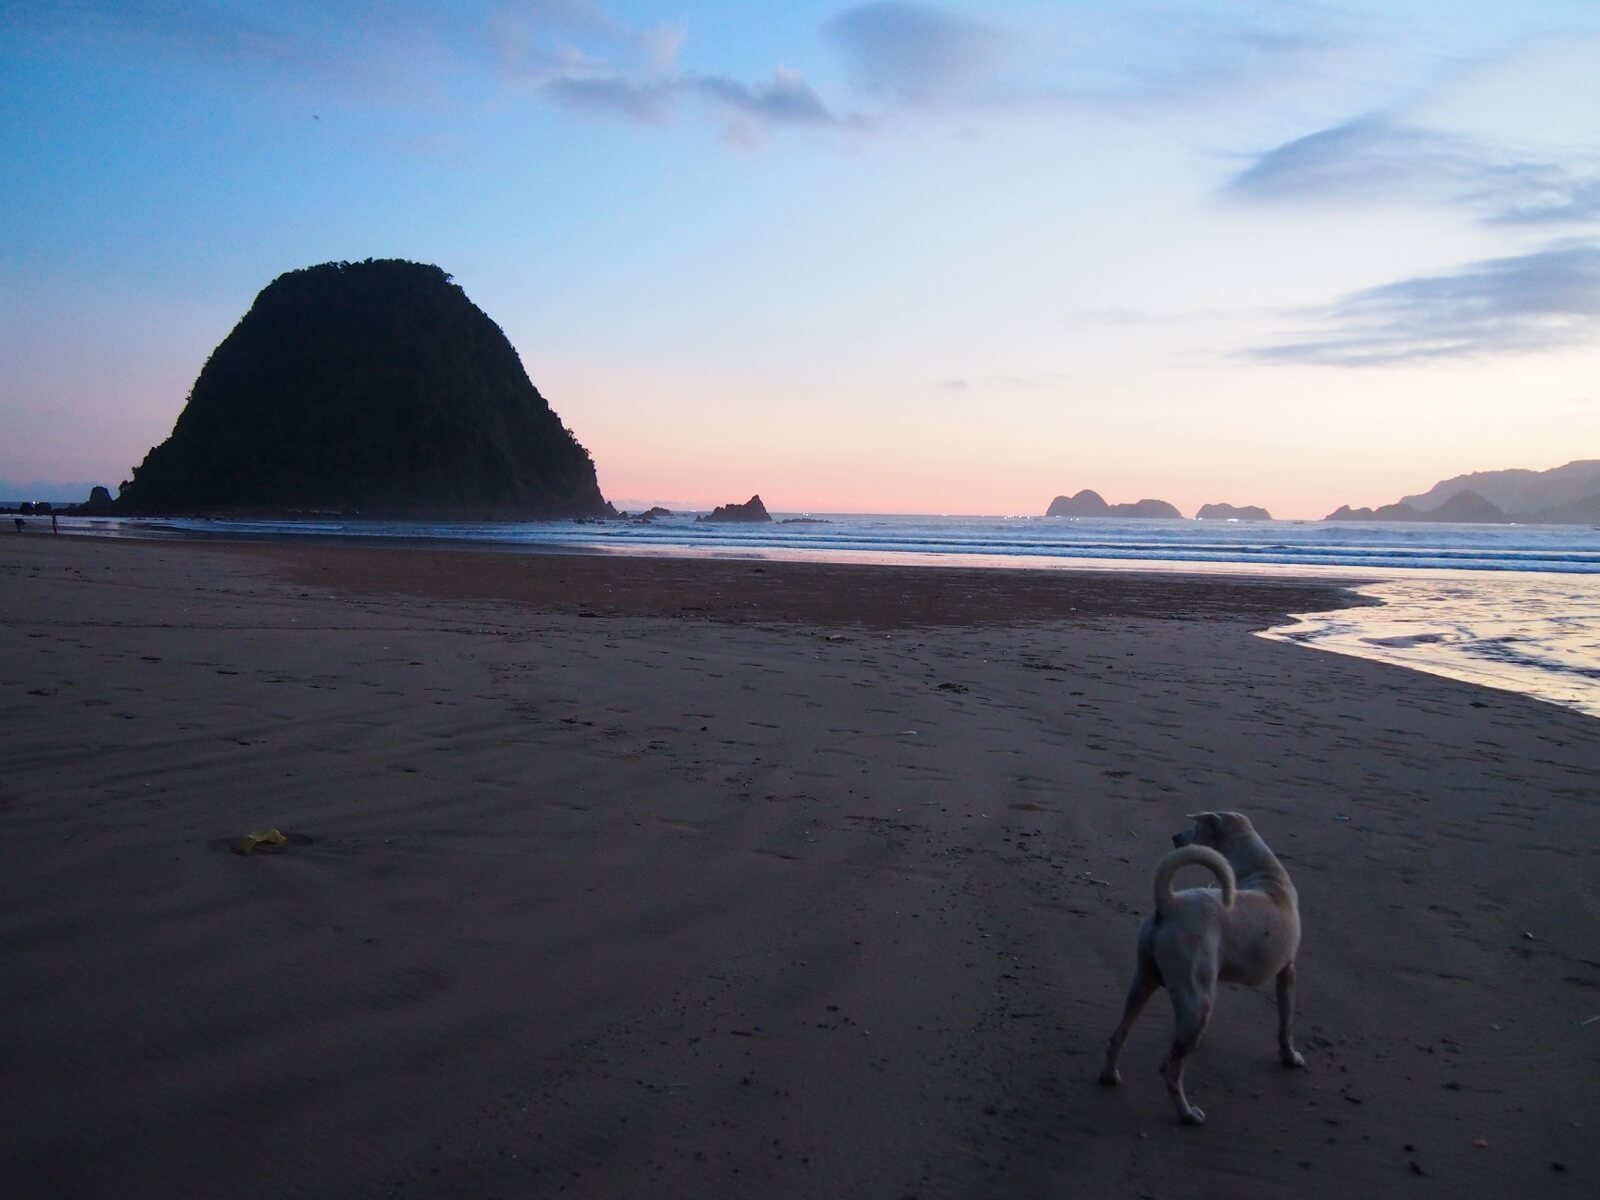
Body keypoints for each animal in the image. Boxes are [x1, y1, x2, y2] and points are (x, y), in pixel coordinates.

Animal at [1100, 812, 1312, 1126]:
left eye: (1195, 828)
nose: (1175, 838)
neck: (1266, 875)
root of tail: (1170, 903)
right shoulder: (1287, 971)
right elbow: (1285, 1025)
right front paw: (1291, 1057)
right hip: (1197, 999)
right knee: (1170, 1067)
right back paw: (1188, 1114)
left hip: (1143, 981)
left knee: (1119, 1035)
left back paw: (1109, 1076)